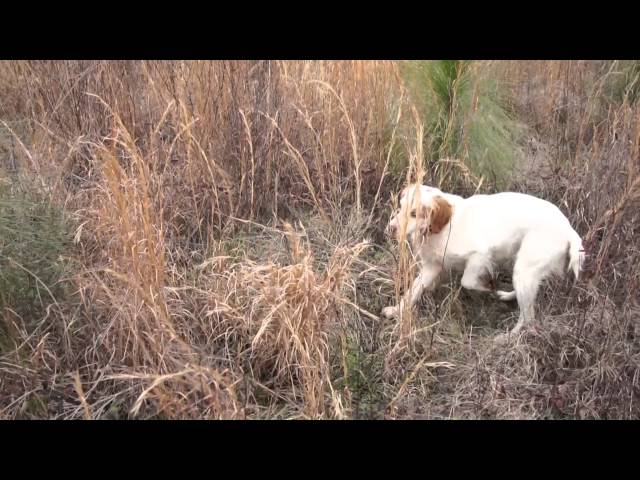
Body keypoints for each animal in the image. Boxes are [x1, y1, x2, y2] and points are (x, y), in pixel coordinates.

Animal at [380, 182, 584, 340]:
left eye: (414, 213)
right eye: (400, 207)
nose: (389, 229)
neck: (444, 227)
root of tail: (569, 230)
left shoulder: (480, 254)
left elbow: (467, 281)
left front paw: (486, 287)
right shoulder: (431, 267)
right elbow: (412, 292)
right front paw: (397, 310)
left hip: (524, 270)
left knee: (528, 317)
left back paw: (507, 338)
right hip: (524, 270)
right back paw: (507, 296)